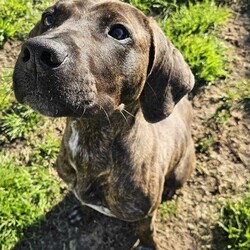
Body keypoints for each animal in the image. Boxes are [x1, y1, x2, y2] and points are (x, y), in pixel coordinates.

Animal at [13, 0, 195, 249]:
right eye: (48, 18)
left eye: (119, 32)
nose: (37, 52)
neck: (89, 139)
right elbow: (83, 203)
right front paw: (82, 212)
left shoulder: (146, 214)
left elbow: (146, 230)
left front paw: (148, 244)